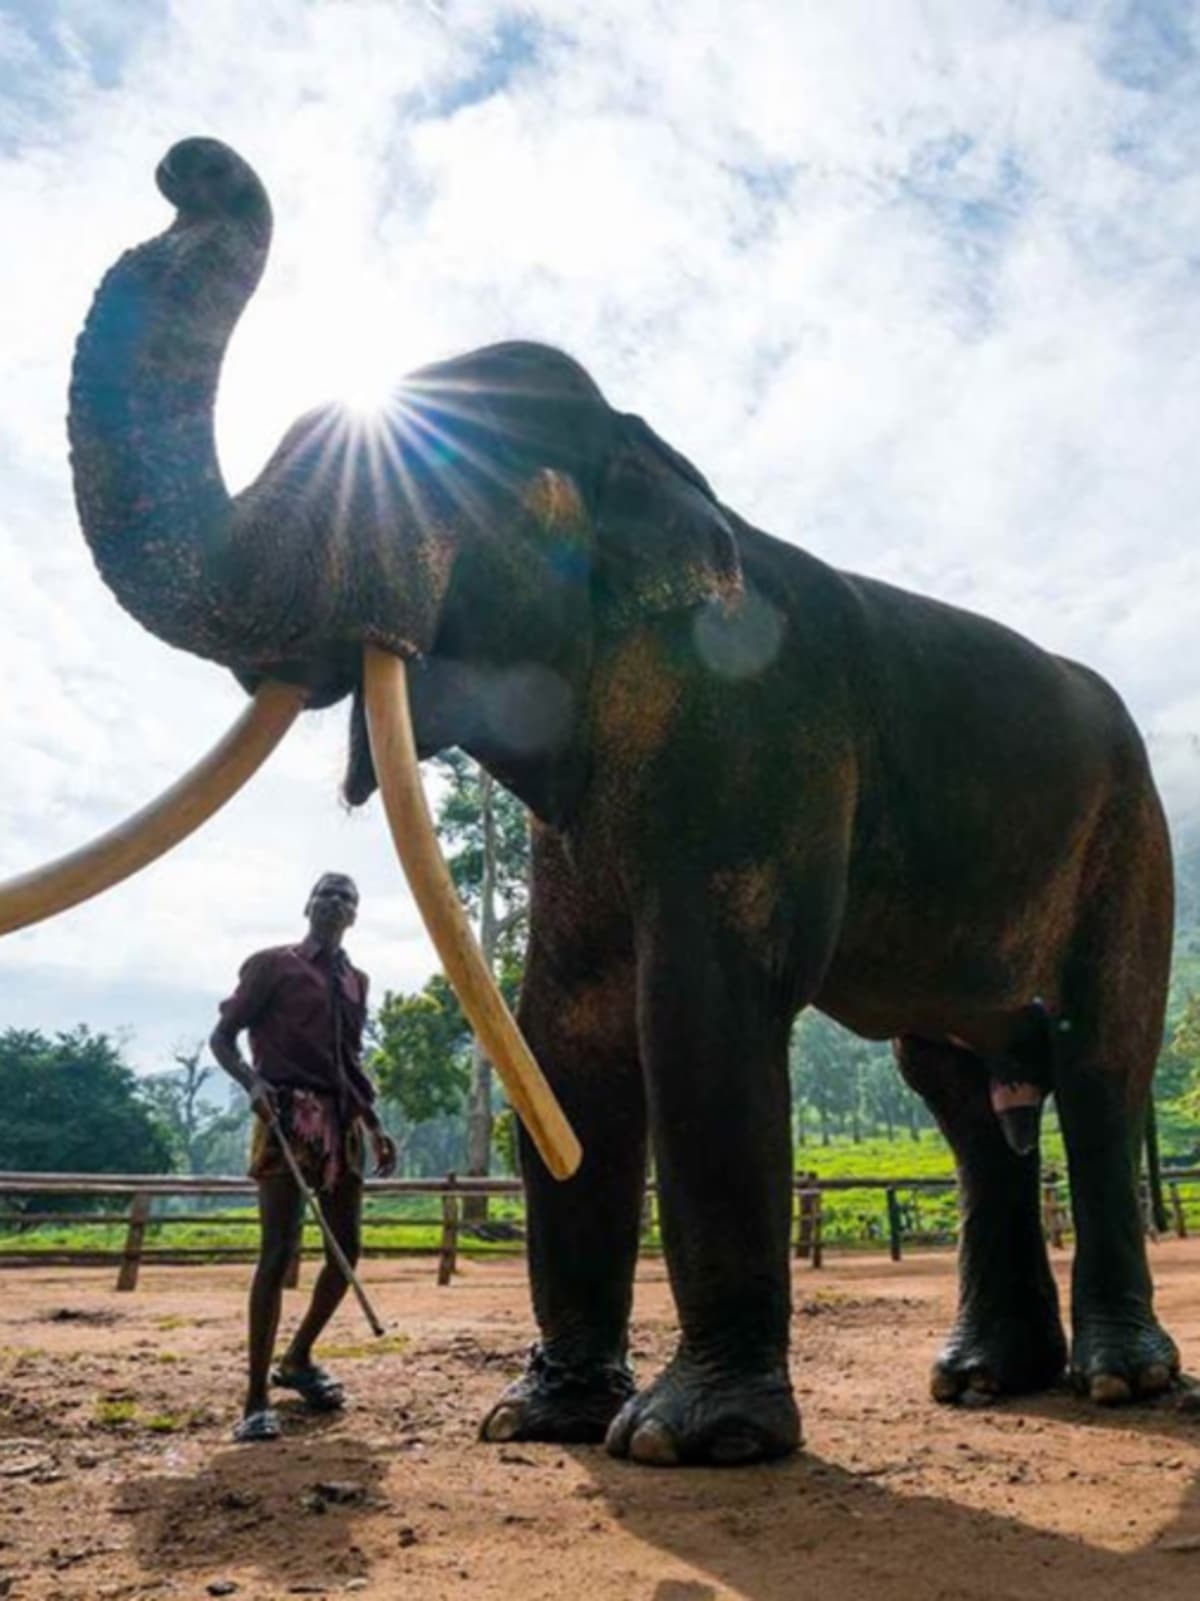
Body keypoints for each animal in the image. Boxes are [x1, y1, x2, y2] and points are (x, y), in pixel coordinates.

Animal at [16, 136, 1184, 1466]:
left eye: (439, 494)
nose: (191, 166)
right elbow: (564, 1023)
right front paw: (538, 1416)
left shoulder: (761, 731)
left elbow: (700, 1007)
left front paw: (688, 1437)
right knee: (961, 1091)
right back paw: (985, 1375)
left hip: (1133, 834)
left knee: (1097, 1060)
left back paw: (1118, 1379)